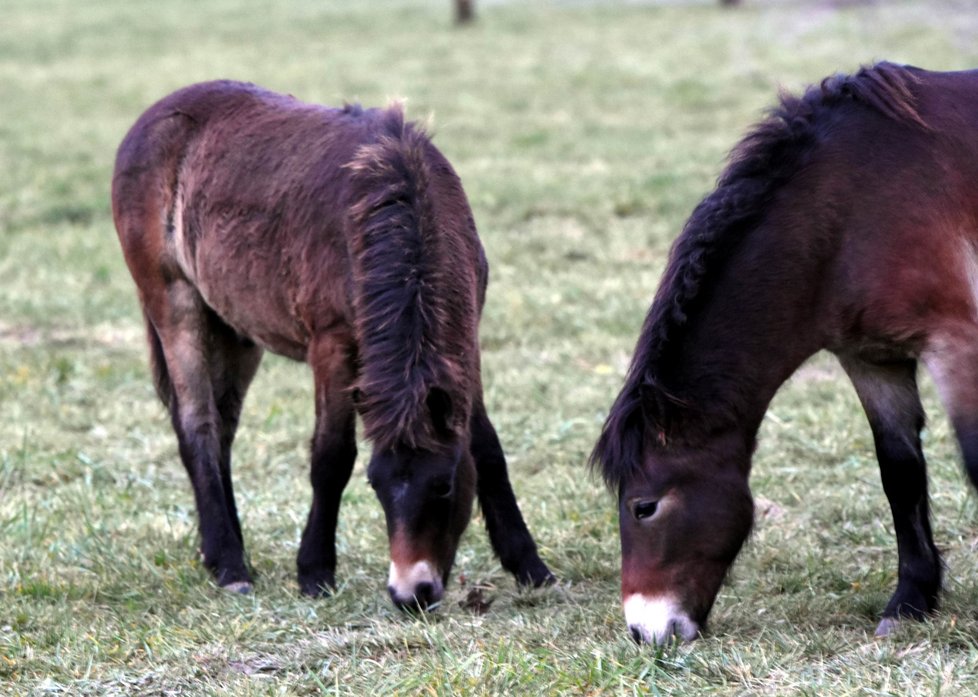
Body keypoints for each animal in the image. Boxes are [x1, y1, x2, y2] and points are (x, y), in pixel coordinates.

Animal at [111, 81, 552, 608]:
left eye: (444, 486)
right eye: (377, 485)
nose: (411, 593)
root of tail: (150, 119)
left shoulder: (466, 344)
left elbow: (487, 448)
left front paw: (530, 566)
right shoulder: (332, 347)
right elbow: (331, 457)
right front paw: (315, 571)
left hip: (235, 328)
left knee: (223, 429)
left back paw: (222, 551)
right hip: (175, 304)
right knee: (197, 426)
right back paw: (231, 564)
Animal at [592, 62, 976, 644]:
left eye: (644, 506)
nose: (642, 632)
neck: (849, 214)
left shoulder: (956, 344)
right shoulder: (870, 358)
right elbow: (901, 471)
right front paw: (911, 600)